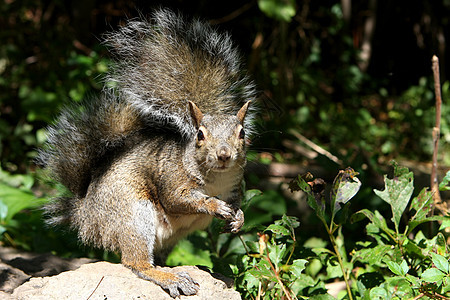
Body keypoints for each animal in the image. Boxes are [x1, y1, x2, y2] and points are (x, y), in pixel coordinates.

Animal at [36, 7, 256, 298]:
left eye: (242, 133)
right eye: (199, 135)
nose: (223, 155)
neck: (215, 179)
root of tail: (85, 216)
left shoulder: (234, 187)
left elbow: (238, 204)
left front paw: (238, 219)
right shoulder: (172, 180)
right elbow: (178, 200)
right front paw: (214, 206)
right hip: (132, 213)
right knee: (135, 262)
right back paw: (170, 278)